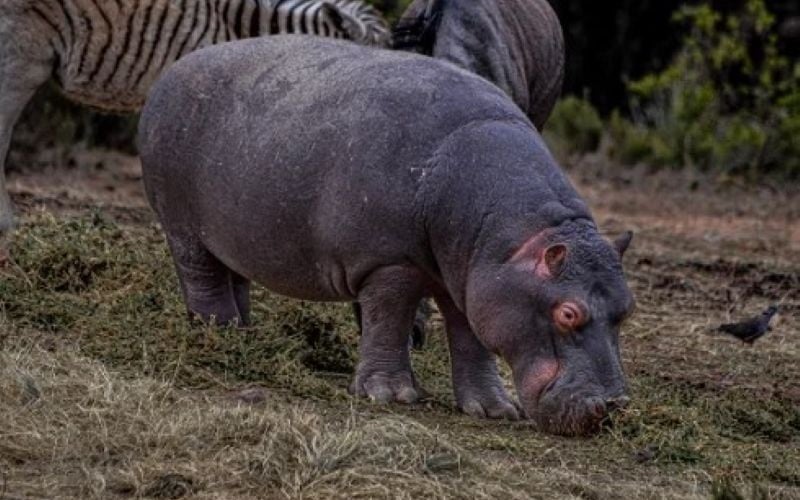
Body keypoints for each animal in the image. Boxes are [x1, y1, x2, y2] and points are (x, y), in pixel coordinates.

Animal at [138, 36, 634, 436]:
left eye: (627, 310)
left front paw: (494, 410)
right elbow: (389, 319)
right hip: (182, 223)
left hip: (228, 233)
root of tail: (173, 69)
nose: (613, 407)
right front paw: (390, 396)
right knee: (200, 274)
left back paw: (243, 332)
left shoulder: (471, 279)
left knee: (231, 274)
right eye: (568, 313)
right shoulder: (388, 262)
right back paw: (216, 332)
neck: (512, 239)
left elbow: (471, 338)